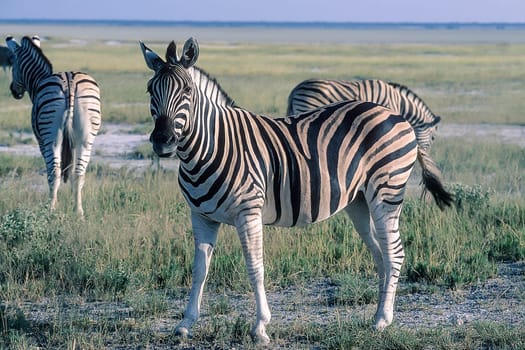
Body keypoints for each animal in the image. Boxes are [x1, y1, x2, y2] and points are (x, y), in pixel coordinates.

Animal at [6, 35, 102, 216]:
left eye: (12, 63)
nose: (14, 91)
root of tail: (70, 82)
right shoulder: (71, 143)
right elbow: (70, 171)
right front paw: (72, 201)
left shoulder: (40, 140)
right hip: (86, 135)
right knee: (79, 172)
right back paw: (79, 212)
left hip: (51, 136)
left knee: (54, 172)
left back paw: (50, 210)